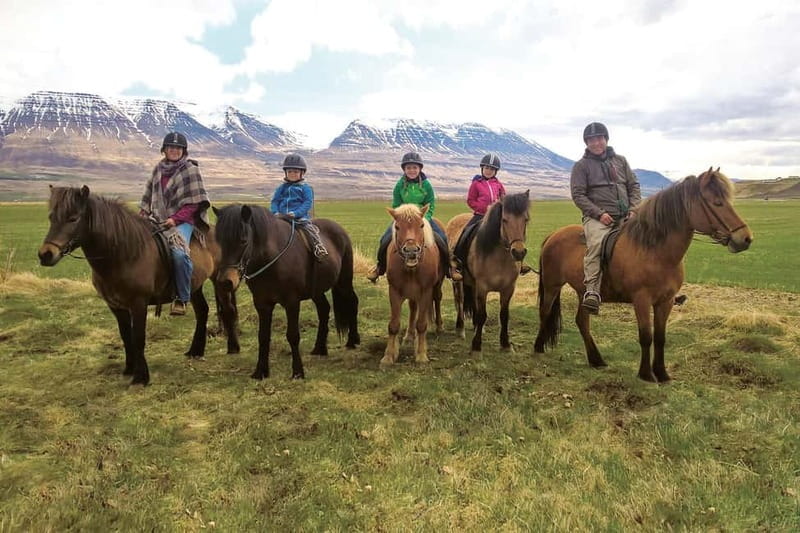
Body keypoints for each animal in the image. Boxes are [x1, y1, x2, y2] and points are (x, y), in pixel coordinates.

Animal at [37, 185, 240, 386]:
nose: (45, 254)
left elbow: (138, 337)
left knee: (228, 310)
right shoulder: (116, 306)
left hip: (220, 281)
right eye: (51, 217)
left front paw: (141, 377)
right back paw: (195, 350)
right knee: (202, 311)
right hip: (194, 286)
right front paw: (129, 368)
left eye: (73, 218)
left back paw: (233, 348)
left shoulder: (138, 303)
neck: (124, 253)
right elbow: (126, 336)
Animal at [213, 204, 360, 380]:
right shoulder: (262, 304)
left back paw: (352, 341)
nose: (225, 282)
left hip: (344, 282)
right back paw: (319, 348)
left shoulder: (292, 302)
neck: (271, 259)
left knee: (352, 302)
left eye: (243, 240)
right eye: (219, 241)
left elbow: (293, 335)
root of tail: (339, 229)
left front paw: (298, 372)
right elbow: (263, 336)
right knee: (324, 309)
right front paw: (260, 371)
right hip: (316, 291)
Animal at [381, 204, 445, 366]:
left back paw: (439, 327)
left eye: (421, 225)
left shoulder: (426, 292)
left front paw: (421, 355)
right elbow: (393, 325)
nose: (411, 251)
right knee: (412, 307)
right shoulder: (394, 291)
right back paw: (409, 335)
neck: (411, 268)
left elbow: (421, 324)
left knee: (437, 299)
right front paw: (389, 356)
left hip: (436, 286)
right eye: (397, 227)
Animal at [445, 191, 531, 353]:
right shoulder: (482, 287)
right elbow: (482, 314)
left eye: (526, 219)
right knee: (459, 301)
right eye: (504, 220)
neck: (499, 257)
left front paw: (505, 344)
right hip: (458, 281)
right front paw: (476, 345)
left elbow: (504, 315)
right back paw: (460, 329)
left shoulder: (508, 289)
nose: (518, 252)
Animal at [534, 168, 753, 382]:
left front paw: (662, 373)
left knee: (582, 321)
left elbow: (660, 337)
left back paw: (596, 359)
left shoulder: (665, 301)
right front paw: (646, 374)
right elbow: (646, 336)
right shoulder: (642, 300)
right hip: (552, 285)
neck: (655, 252)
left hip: (583, 292)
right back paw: (538, 347)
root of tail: (553, 235)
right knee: (545, 312)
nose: (745, 238)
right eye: (717, 203)